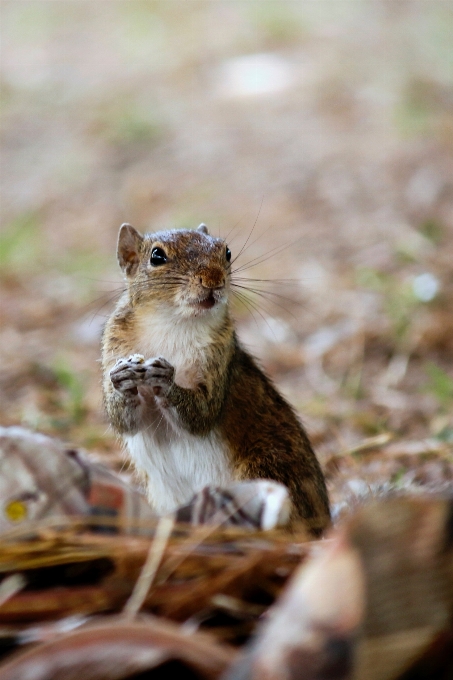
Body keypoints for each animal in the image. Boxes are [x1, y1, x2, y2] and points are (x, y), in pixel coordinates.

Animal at [101, 223, 328, 536]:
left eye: (227, 251)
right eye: (157, 256)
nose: (213, 279)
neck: (173, 323)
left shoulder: (221, 358)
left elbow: (202, 414)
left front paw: (166, 381)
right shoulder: (114, 347)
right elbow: (123, 421)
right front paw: (122, 380)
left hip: (267, 468)